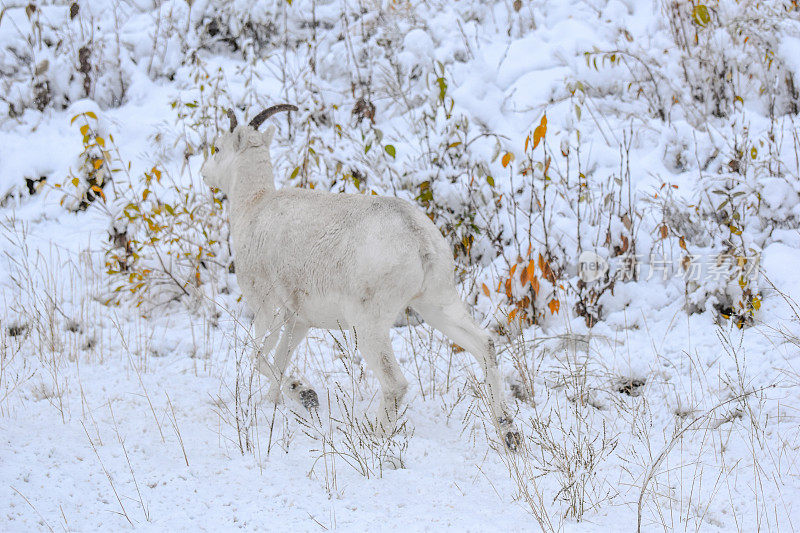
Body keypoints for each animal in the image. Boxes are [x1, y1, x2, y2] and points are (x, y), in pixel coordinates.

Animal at [202, 107, 520, 448]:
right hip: (438, 304)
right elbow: (279, 360)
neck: (255, 208)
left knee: (395, 383)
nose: (205, 174)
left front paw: (306, 394)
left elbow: (260, 359)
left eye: (217, 148)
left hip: (369, 326)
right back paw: (509, 433)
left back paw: (373, 436)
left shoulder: (268, 310)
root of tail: (417, 237)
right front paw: (275, 403)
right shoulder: (298, 321)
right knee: (485, 345)